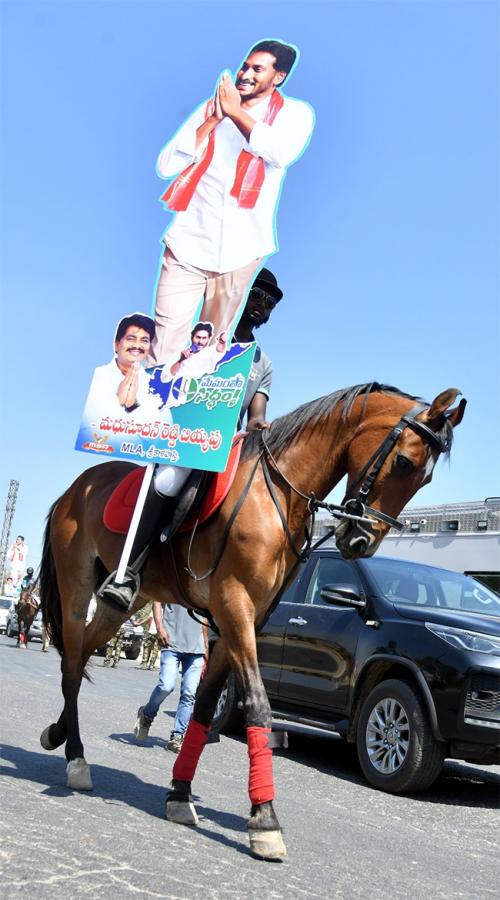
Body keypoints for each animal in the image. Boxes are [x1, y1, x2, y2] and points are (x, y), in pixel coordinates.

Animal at [39, 380, 464, 856]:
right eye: (405, 462)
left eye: (425, 478)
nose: (360, 542)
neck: (278, 493)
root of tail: (77, 488)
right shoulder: (234, 607)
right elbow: (259, 705)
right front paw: (265, 818)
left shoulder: (243, 621)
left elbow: (205, 707)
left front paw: (180, 794)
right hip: (76, 589)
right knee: (72, 663)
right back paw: (76, 758)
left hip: (121, 605)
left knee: (79, 658)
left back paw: (59, 734)